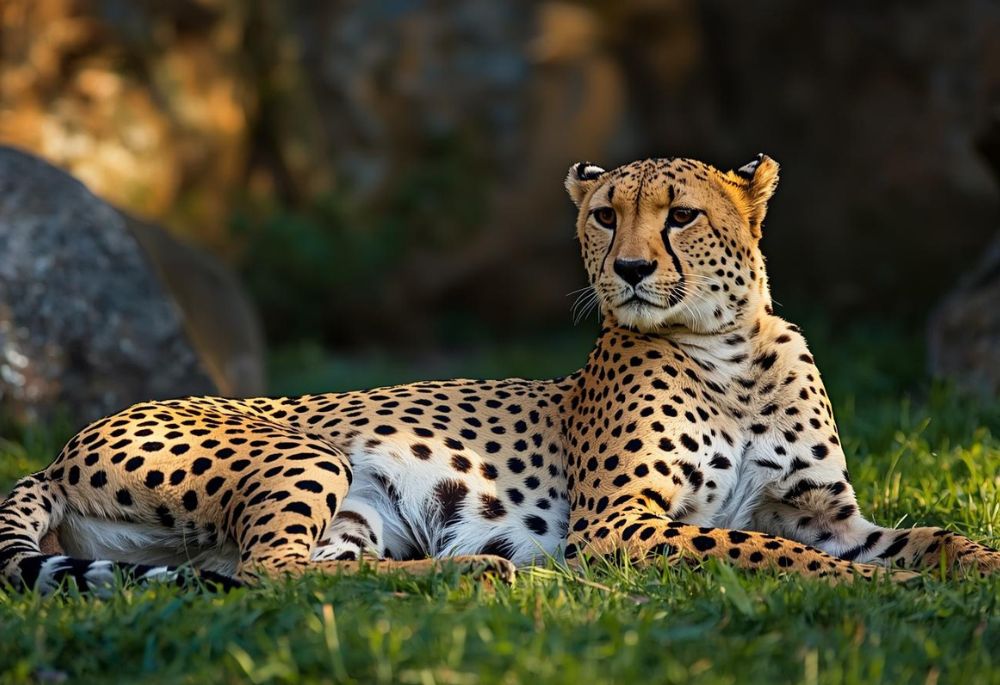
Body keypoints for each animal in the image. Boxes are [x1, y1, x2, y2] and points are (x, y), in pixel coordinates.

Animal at [2, 154, 998, 594]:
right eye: (604, 214)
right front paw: (875, 589)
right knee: (269, 571)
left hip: (355, 519)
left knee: (293, 568)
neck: (729, 352)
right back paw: (480, 573)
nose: (629, 268)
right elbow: (762, 549)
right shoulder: (619, 526)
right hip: (311, 457)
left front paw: (971, 568)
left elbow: (933, 536)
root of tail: (56, 450)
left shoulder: (830, 513)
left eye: (678, 214)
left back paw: (463, 570)